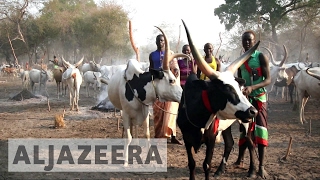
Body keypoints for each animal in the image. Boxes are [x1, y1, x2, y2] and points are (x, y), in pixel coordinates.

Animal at [106, 26, 189, 165]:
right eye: (171, 80)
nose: (184, 96)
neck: (137, 86)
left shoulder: (144, 113)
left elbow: (147, 135)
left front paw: (150, 158)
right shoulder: (126, 114)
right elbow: (128, 137)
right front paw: (125, 161)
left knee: (135, 129)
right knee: (130, 131)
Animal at [176, 19, 258, 180]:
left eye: (238, 88)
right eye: (226, 89)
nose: (253, 111)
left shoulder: (211, 138)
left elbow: (206, 165)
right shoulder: (187, 138)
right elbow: (192, 164)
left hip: (245, 123)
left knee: (250, 143)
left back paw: (252, 170)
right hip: (226, 125)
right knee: (230, 143)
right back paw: (220, 169)